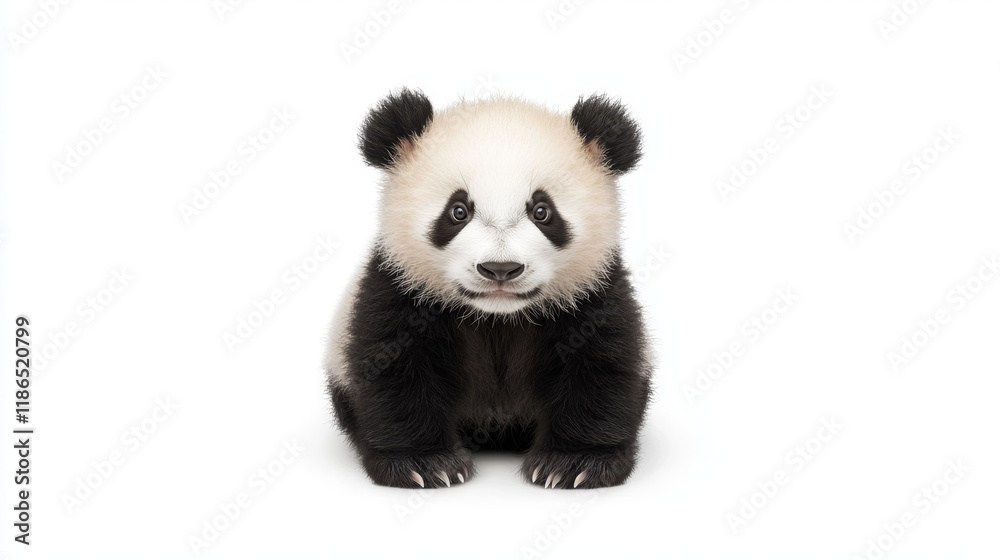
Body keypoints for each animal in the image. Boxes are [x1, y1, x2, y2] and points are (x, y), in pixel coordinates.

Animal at [326, 89, 652, 489]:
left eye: (542, 211)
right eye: (457, 211)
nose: (500, 269)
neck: (498, 318)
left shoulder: (593, 292)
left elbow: (601, 367)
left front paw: (574, 464)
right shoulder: (398, 287)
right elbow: (393, 368)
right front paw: (425, 464)